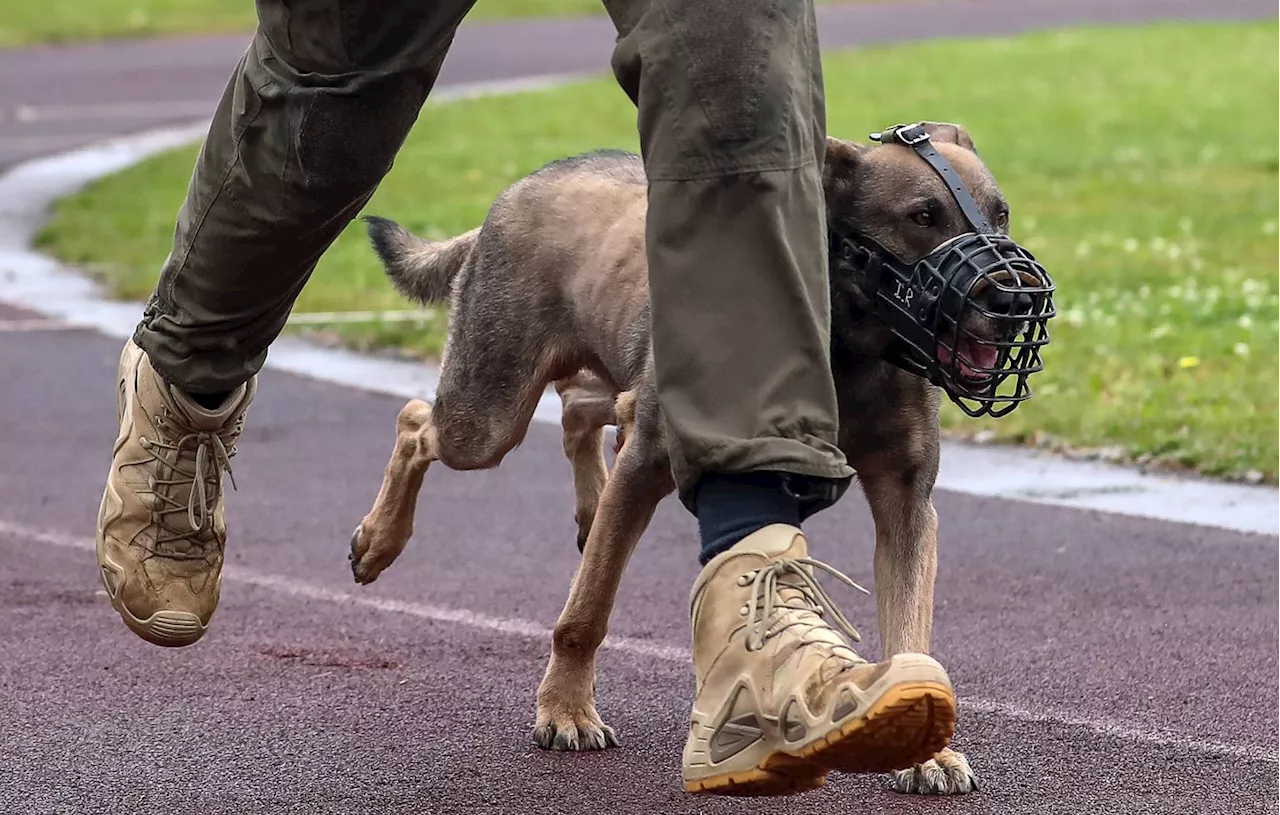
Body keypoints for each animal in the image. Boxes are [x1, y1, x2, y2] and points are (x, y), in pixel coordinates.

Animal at [348, 120, 1049, 793]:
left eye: (1001, 214)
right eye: (922, 215)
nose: (1017, 301)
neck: (847, 345)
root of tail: (524, 184)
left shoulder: (907, 502)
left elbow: (910, 624)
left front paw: (926, 748)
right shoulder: (645, 468)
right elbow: (586, 611)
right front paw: (566, 711)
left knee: (580, 407)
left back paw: (585, 503)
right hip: (488, 412)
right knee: (417, 423)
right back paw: (379, 539)